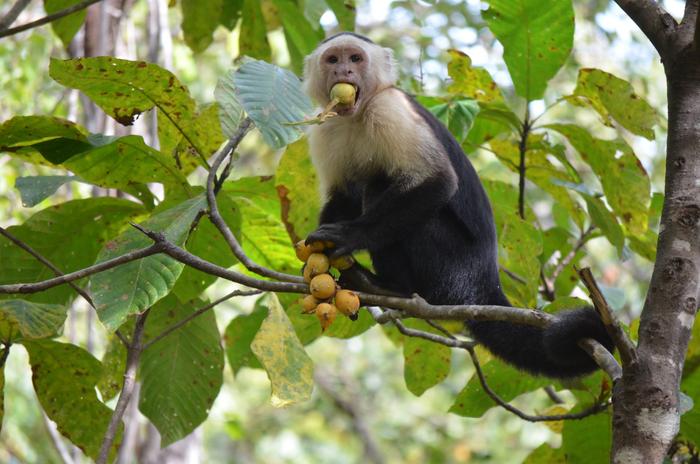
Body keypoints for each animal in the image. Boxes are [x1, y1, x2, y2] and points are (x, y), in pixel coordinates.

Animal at [300, 33, 612, 380]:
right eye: (333, 59)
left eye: (355, 58)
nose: (344, 72)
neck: (357, 114)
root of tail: (484, 282)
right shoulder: (325, 127)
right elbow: (342, 196)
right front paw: (316, 256)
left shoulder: (390, 109)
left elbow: (439, 182)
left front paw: (350, 237)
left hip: (452, 268)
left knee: (389, 191)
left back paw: (394, 287)